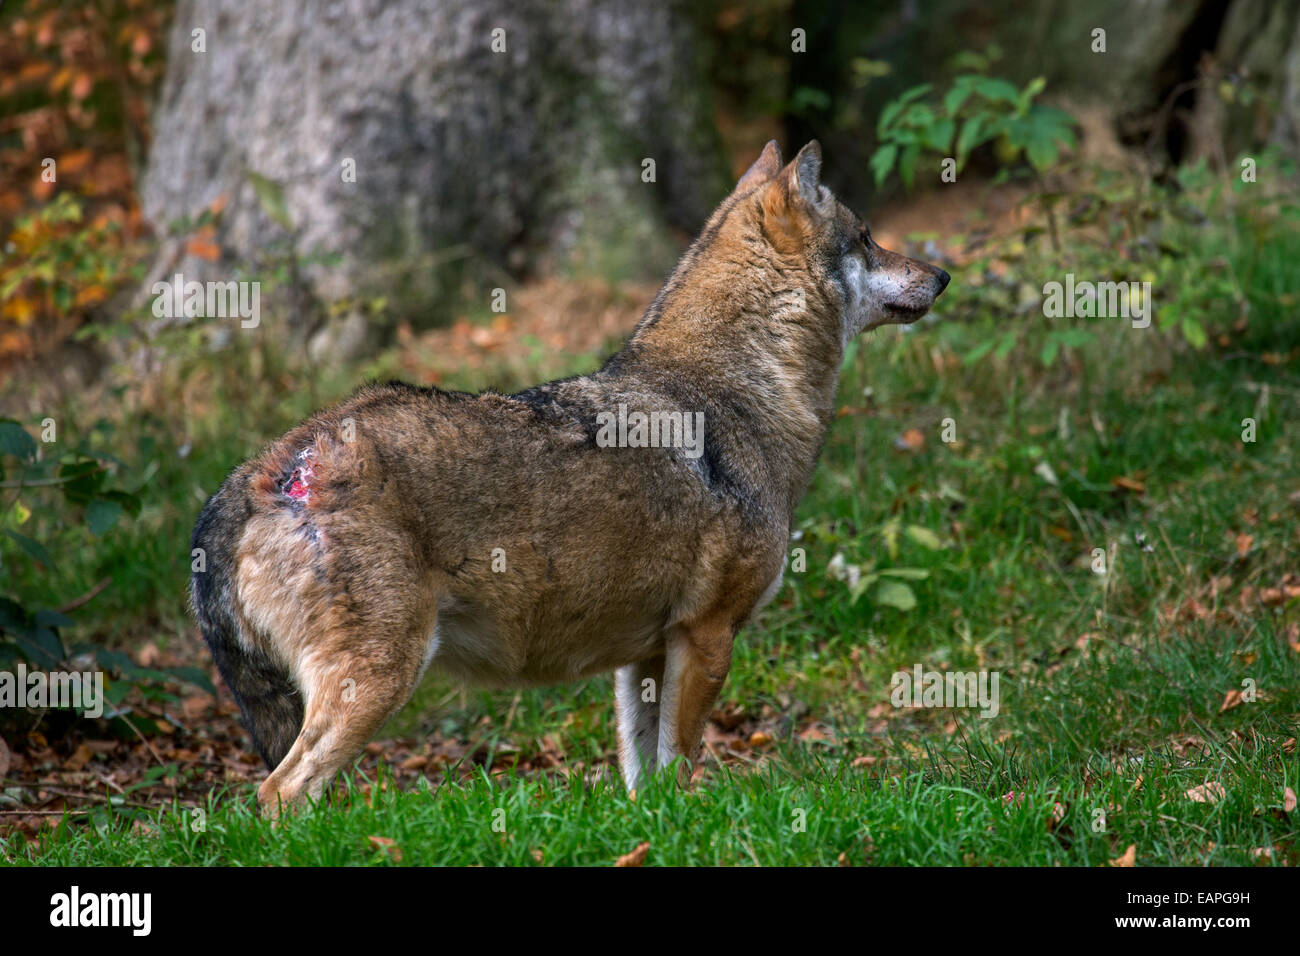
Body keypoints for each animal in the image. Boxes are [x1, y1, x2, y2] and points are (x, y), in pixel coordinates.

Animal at [190, 140, 950, 811]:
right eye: (868, 237)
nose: (942, 275)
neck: (741, 391)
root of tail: (265, 470)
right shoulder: (706, 635)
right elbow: (682, 765)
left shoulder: (646, 656)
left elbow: (645, 779)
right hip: (377, 683)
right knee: (279, 792)